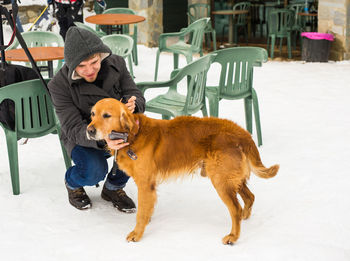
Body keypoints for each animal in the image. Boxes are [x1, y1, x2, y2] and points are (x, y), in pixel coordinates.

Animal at [85, 97, 278, 244]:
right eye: (92, 114)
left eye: (107, 115)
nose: (89, 130)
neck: (132, 135)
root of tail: (242, 133)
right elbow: (146, 210)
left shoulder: (145, 185)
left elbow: (141, 214)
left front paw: (137, 234)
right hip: (230, 178)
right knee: (250, 196)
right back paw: (245, 217)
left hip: (221, 180)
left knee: (235, 209)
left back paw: (233, 236)